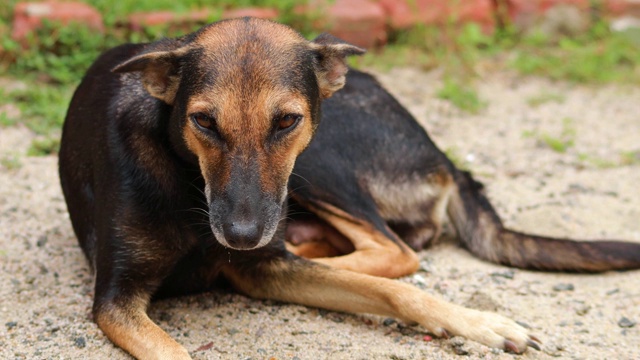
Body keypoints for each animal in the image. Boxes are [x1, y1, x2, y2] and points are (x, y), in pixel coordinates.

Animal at [57, 17, 636, 360]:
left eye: (286, 121)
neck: (186, 179)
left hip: (318, 161)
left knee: (396, 250)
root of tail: (442, 156)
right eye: (203, 122)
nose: (240, 237)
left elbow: (396, 289)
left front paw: (483, 323)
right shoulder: (115, 299)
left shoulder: (263, 264)